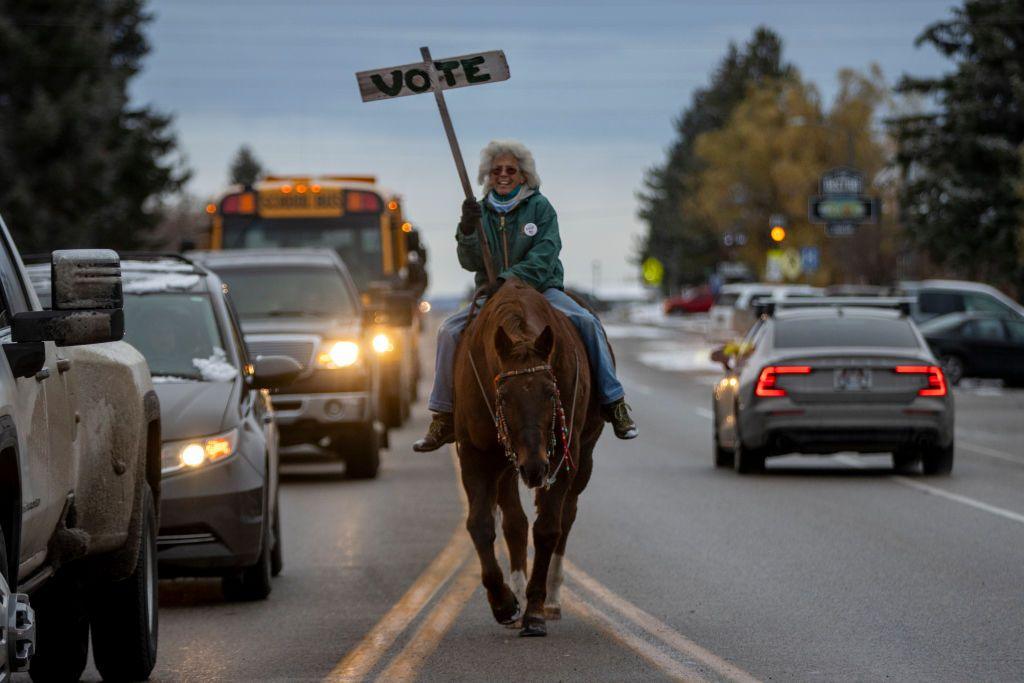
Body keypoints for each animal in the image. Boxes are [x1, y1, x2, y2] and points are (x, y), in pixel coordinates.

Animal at [452, 276, 602, 634]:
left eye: (550, 392)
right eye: (504, 396)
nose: (534, 467)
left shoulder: (563, 457)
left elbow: (548, 528)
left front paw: (534, 610)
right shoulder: (475, 455)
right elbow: (480, 525)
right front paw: (504, 603)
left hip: (582, 459)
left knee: (567, 516)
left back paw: (552, 599)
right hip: (507, 465)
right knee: (515, 523)